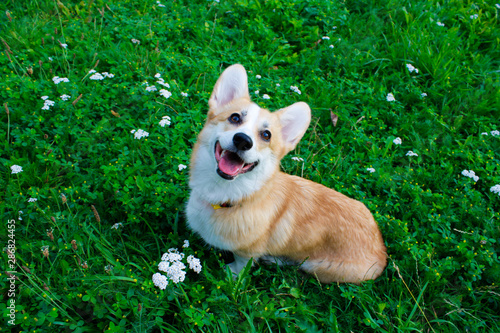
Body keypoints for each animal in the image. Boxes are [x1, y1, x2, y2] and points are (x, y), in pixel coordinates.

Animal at [188, 65, 386, 282]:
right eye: (235, 117)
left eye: (266, 135)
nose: (243, 140)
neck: (229, 196)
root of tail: (382, 252)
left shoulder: (247, 252)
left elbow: (241, 265)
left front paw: (231, 274)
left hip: (314, 265)